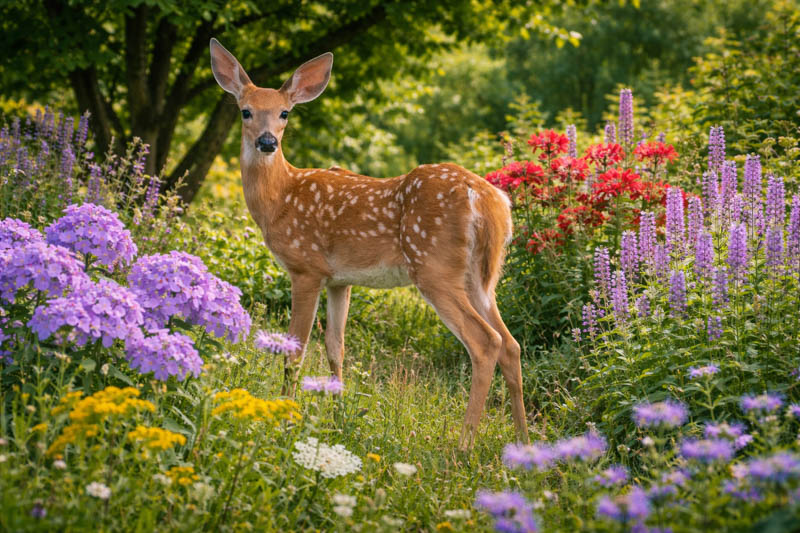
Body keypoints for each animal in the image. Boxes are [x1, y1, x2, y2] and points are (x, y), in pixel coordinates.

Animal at [209, 38, 529, 449]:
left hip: (434, 266)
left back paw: (461, 447)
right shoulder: (339, 280)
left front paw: (284, 417)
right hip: (482, 276)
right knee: (511, 344)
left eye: (284, 113)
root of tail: (490, 202)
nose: (267, 142)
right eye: (246, 111)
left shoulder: (306, 267)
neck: (280, 198)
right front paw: (338, 417)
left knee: (486, 342)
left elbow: (295, 351)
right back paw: (524, 443)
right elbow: (335, 347)